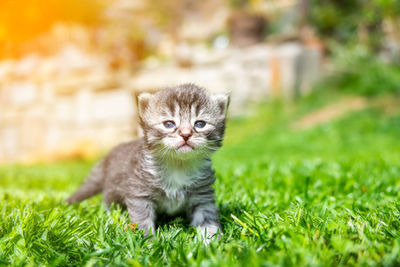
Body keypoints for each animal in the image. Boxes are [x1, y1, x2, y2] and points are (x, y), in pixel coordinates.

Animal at [65, 83, 228, 241]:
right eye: (169, 124)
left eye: (200, 124)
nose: (186, 134)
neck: (178, 165)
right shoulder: (139, 192)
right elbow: (142, 219)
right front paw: (147, 240)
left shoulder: (202, 194)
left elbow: (207, 218)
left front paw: (211, 241)